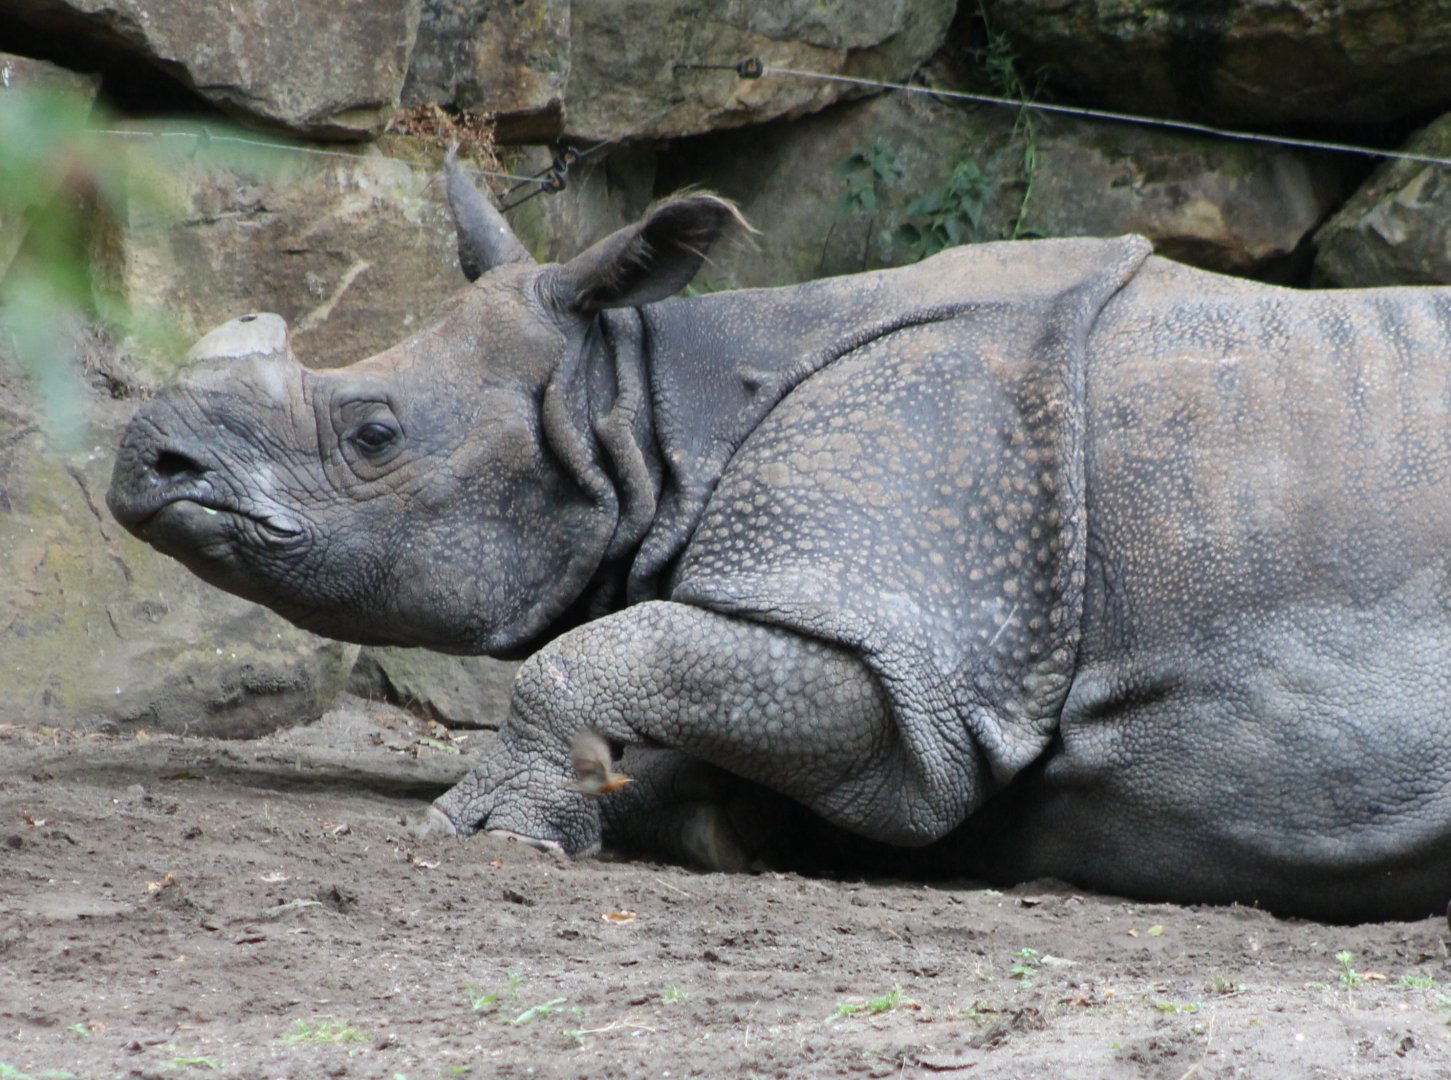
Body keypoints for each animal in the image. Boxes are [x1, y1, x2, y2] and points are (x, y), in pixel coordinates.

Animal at [108, 159, 1451, 922]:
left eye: (373, 432)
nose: (146, 465)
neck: (649, 409)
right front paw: (711, 823)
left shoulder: (913, 628)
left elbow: (604, 657)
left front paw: (486, 828)